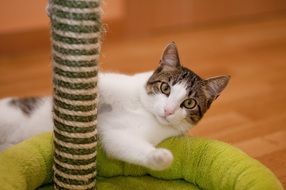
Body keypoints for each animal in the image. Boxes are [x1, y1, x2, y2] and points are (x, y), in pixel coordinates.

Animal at [0, 43, 229, 171]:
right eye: (165, 88)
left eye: (189, 103)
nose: (168, 110)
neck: (144, 112)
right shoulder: (114, 84)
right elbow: (98, 85)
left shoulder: (125, 134)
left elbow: (122, 144)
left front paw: (160, 157)